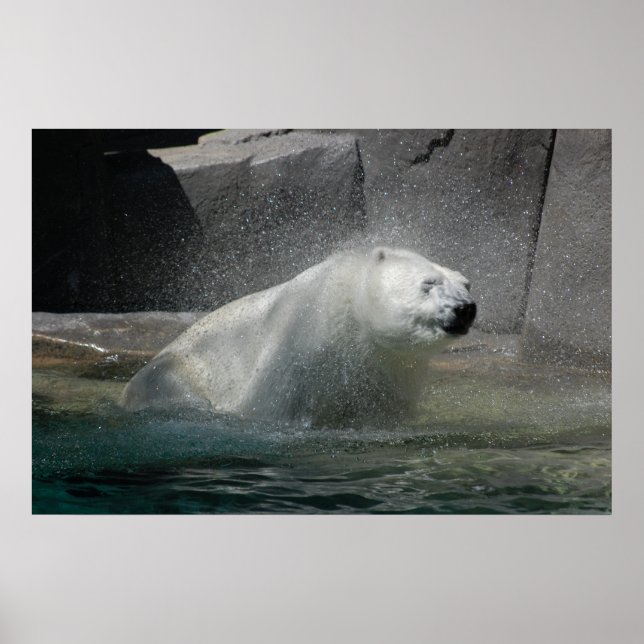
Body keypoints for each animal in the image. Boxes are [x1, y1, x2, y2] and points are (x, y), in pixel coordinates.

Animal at [120, 247, 476, 425]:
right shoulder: (296, 352)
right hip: (171, 374)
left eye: (466, 283)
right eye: (429, 282)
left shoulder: (393, 368)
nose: (465, 308)